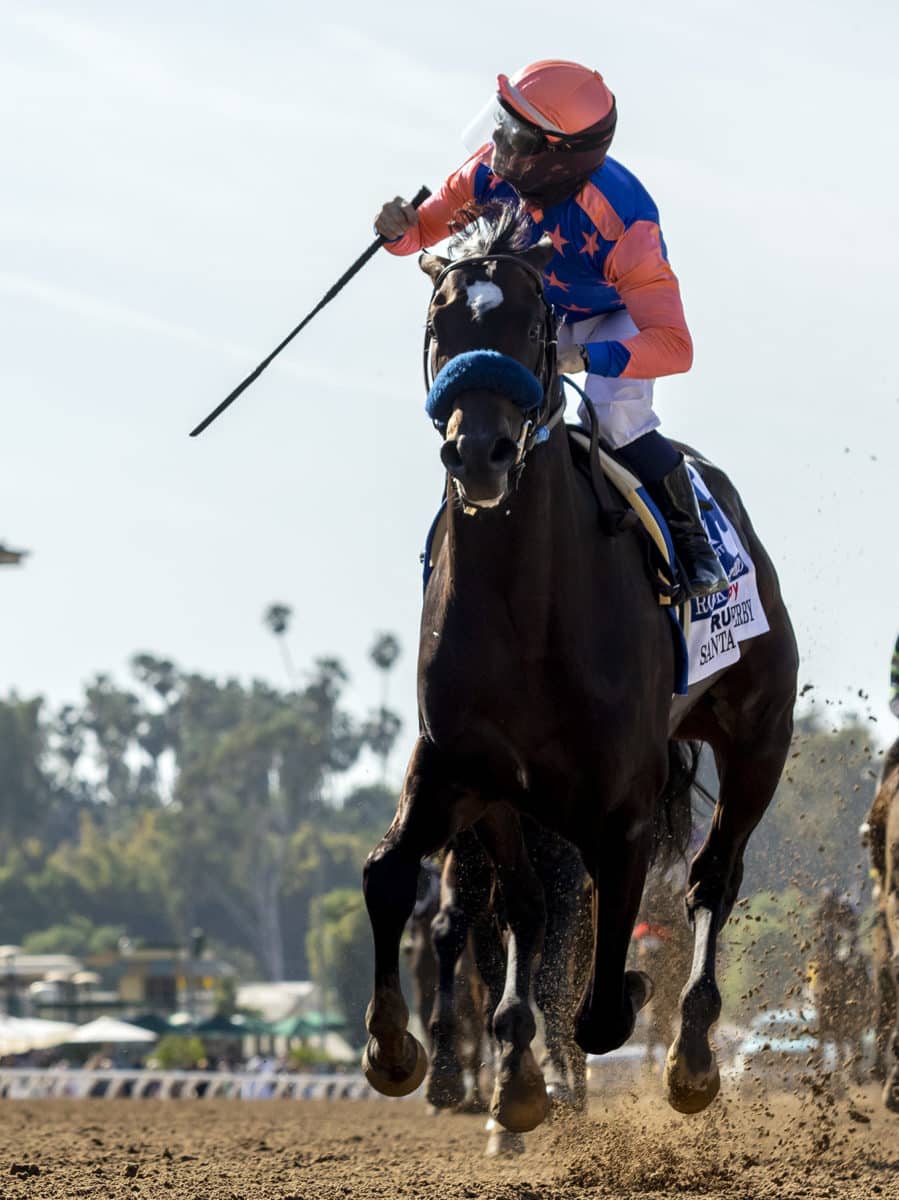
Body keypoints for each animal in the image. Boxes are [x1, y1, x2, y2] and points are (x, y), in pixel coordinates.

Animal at [360, 201, 796, 1128]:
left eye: (533, 326)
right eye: (439, 323)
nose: (479, 453)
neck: (528, 611)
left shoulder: (622, 812)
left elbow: (601, 1002)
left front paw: (618, 1006)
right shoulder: (462, 768)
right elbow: (399, 878)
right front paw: (400, 1050)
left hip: (759, 739)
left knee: (712, 878)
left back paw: (690, 1054)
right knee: (525, 911)